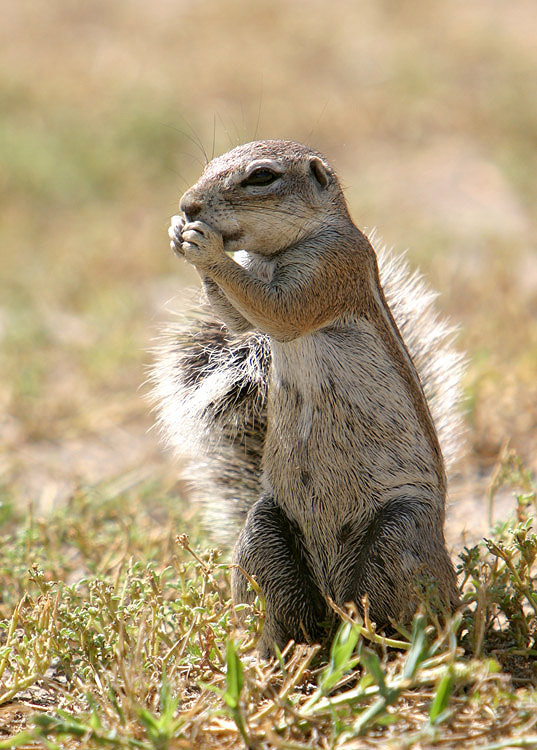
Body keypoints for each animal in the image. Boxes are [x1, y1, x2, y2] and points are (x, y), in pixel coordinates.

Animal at [150, 140, 460, 656]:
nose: (187, 205)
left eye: (261, 177)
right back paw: (273, 658)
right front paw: (179, 233)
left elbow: (281, 312)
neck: (276, 253)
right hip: (263, 533)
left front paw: (205, 247)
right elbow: (240, 321)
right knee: (290, 619)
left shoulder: (332, 267)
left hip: (401, 535)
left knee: (395, 611)